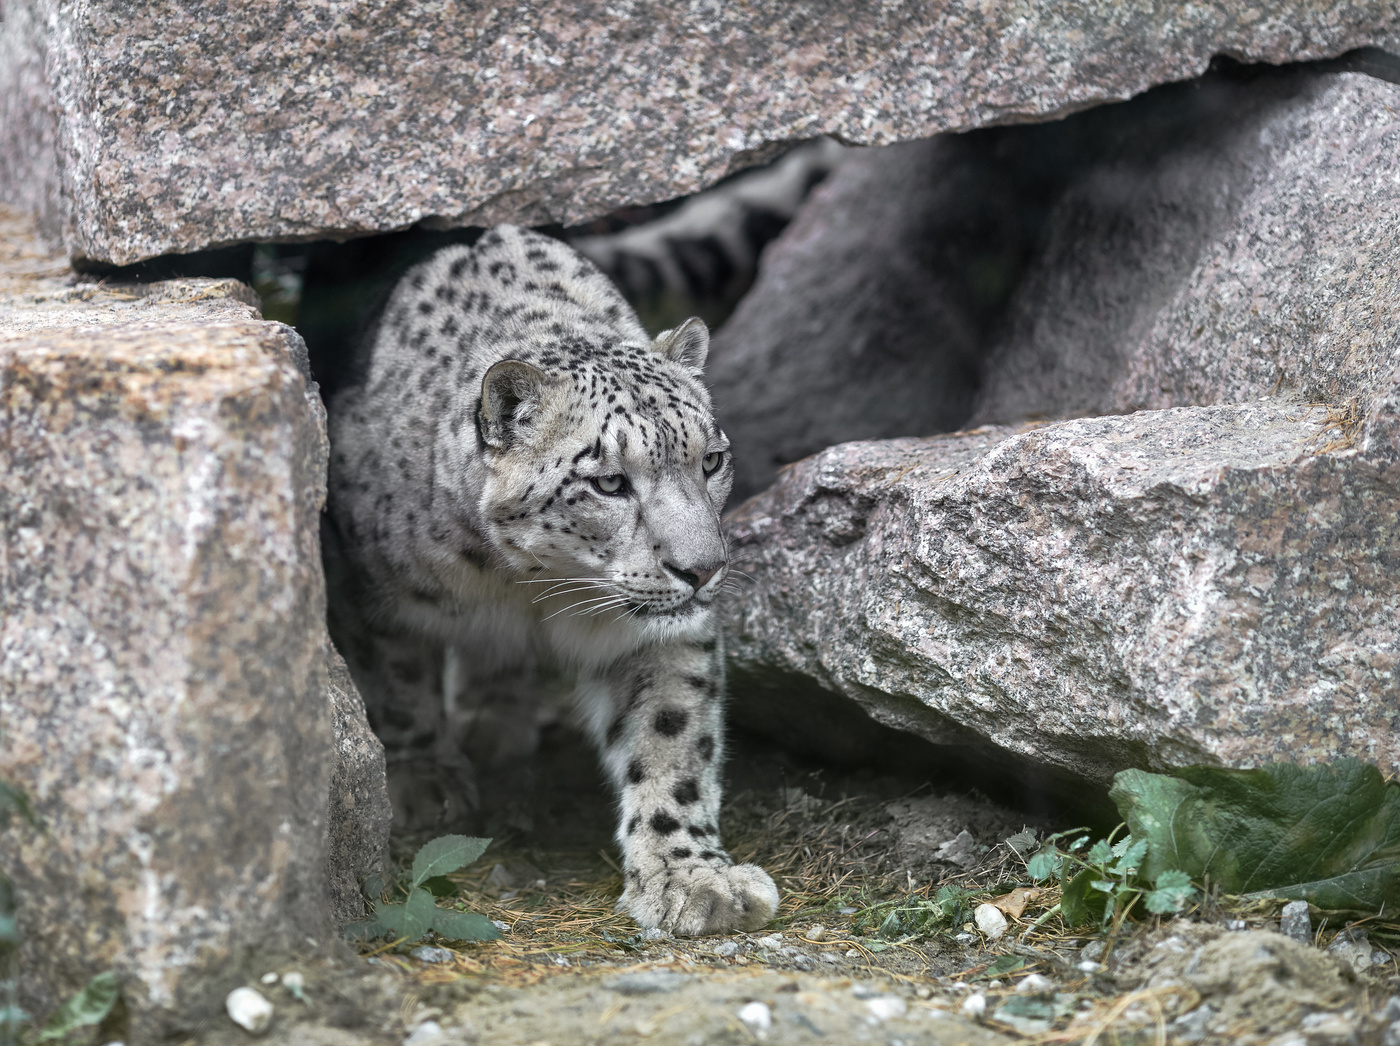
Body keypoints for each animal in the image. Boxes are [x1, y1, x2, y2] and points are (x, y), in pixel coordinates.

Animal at [323, 222, 784, 935]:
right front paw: (424, 779)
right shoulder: (364, 584)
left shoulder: (652, 637)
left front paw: (690, 876)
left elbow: (672, 737)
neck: (526, 586)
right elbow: (395, 680)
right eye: (609, 482)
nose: (703, 568)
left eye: (712, 460)